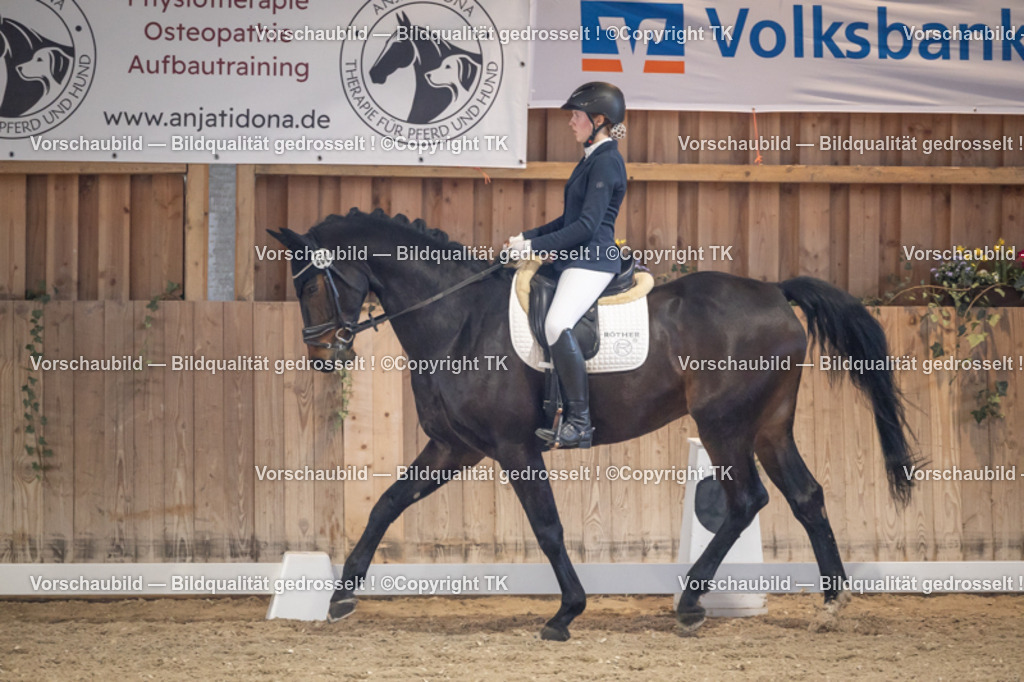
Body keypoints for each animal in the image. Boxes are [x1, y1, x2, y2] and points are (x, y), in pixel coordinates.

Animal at [268, 208, 917, 641]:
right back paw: (831, 602)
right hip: (768, 427)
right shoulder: (455, 447)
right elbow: (386, 504)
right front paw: (340, 598)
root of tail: (776, 293)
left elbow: (548, 528)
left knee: (745, 502)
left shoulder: (513, 449)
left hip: (724, 427)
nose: (322, 355)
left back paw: (690, 604)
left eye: (312, 283)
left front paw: (566, 613)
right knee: (806, 496)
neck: (457, 319)